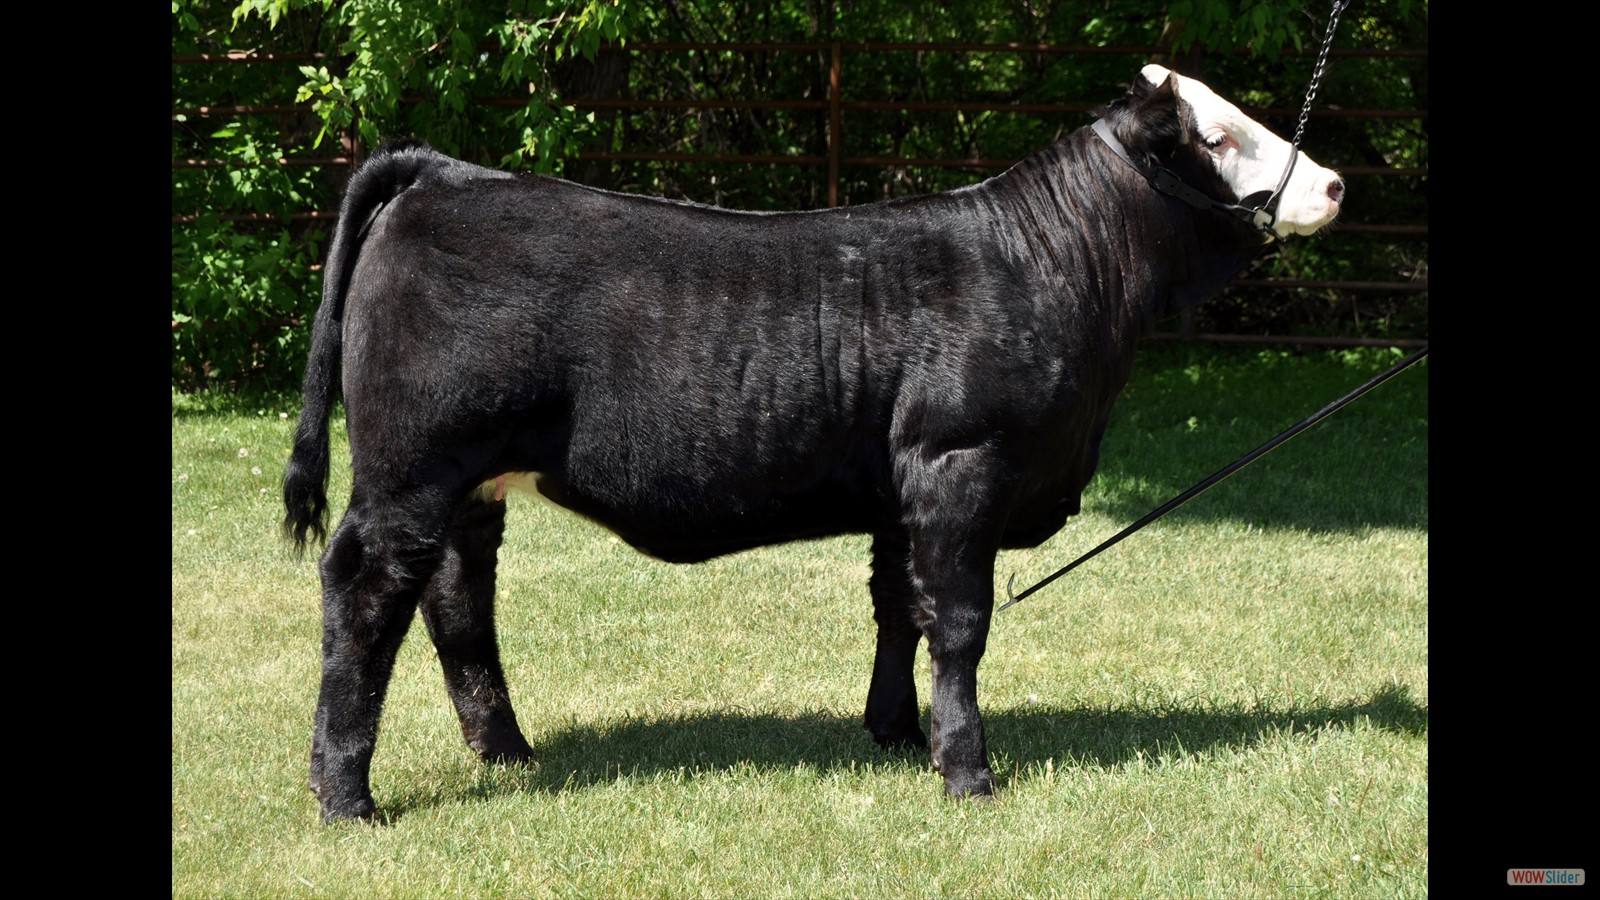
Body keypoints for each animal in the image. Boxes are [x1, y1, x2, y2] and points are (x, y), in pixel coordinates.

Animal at [284, 64, 1343, 823]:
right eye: (1217, 136)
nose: (1332, 182)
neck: (1050, 266)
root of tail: (446, 173)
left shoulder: (902, 490)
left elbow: (900, 606)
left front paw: (898, 734)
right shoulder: (961, 465)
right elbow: (960, 623)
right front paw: (969, 772)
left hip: (470, 481)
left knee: (457, 600)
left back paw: (506, 750)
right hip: (413, 467)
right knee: (367, 590)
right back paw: (347, 795)